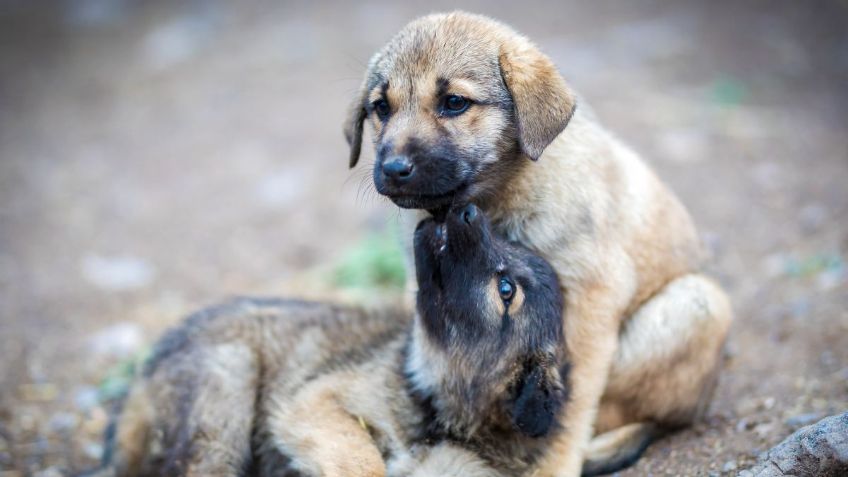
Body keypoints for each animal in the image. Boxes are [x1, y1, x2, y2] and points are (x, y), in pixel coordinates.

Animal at [342, 11, 728, 476]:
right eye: (381, 108)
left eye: (454, 103)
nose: (394, 169)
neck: (499, 196)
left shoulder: (592, 300)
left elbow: (568, 408)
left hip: (698, 304)